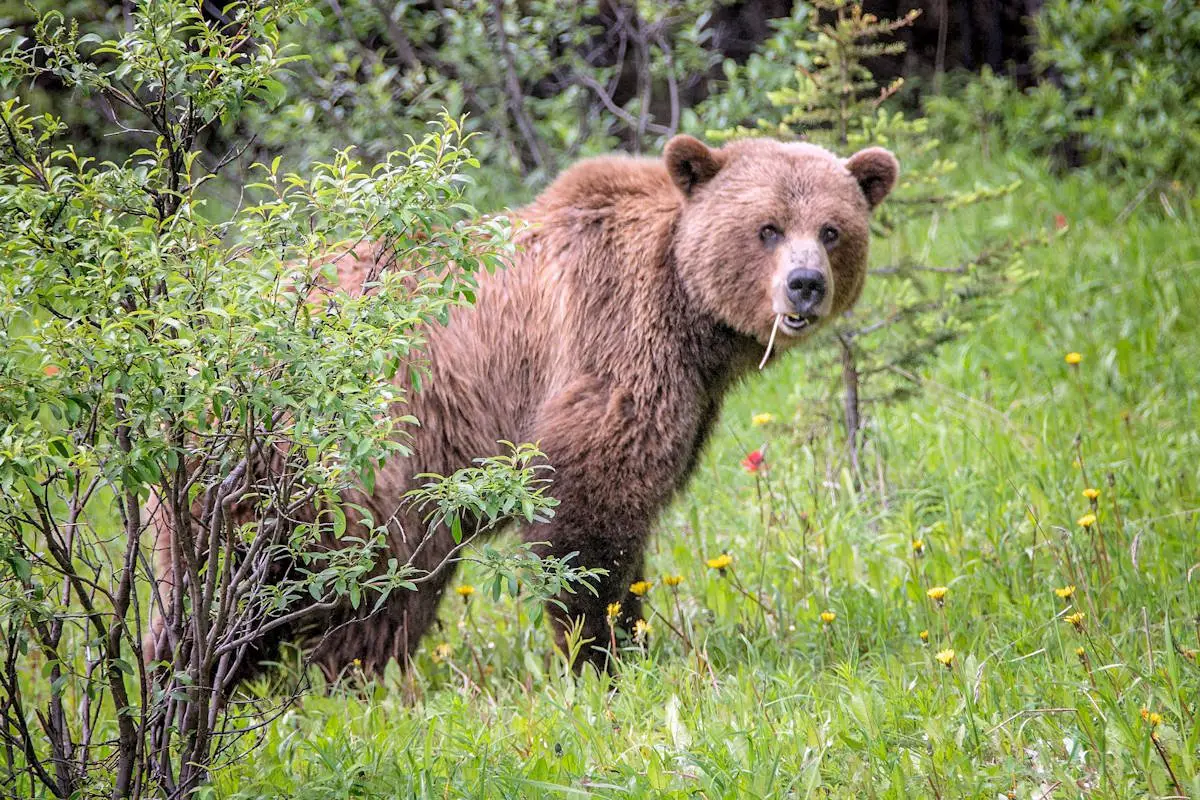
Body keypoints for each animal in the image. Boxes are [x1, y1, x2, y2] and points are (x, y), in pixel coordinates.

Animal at [145, 134, 897, 681]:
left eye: (833, 229)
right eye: (767, 227)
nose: (805, 285)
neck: (691, 314)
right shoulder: (609, 341)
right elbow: (590, 512)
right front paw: (604, 652)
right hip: (315, 459)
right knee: (271, 573)